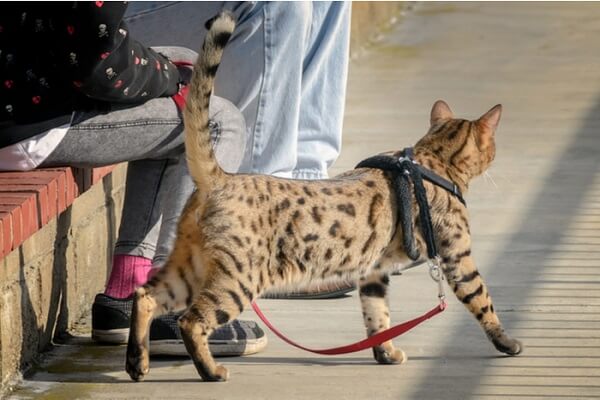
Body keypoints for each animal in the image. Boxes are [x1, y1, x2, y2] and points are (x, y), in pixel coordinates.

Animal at [125, 10, 520, 382]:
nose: (496, 154)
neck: (430, 159)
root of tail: (220, 177)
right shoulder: (458, 257)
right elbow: (483, 300)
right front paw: (507, 343)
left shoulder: (374, 270)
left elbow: (377, 316)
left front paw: (386, 352)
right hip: (237, 279)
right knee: (191, 321)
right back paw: (210, 371)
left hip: (189, 266)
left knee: (144, 295)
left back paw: (137, 362)